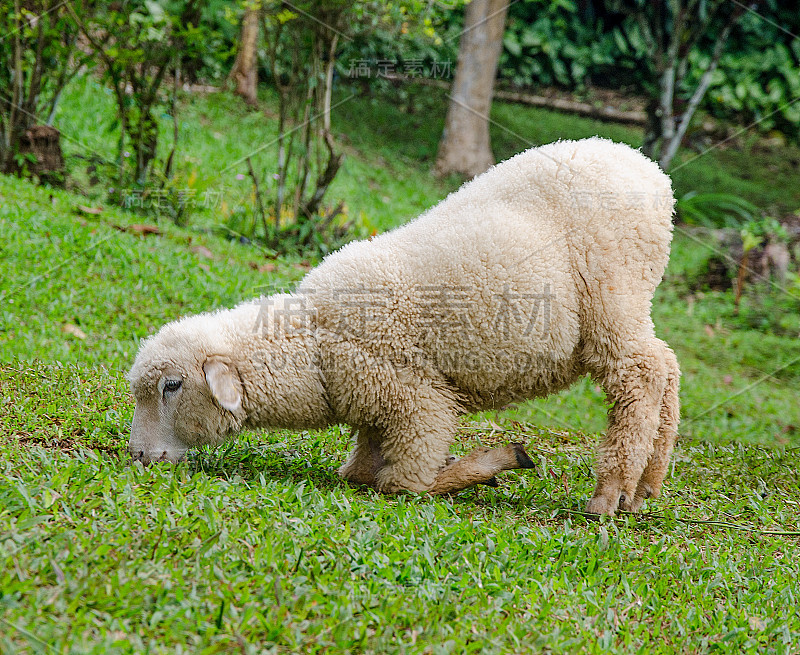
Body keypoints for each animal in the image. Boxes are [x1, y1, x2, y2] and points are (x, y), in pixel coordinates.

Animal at [128, 138, 680, 516]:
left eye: (172, 386)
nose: (137, 454)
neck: (314, 347)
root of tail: (653, 174)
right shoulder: (374, 407)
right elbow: (360, 472)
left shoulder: (418, 401)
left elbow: (403, 483)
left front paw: (492, 464)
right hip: (631, 303)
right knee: (667, 364)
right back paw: (647, 484)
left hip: (612, 293)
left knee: (641, 373)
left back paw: (610, 493)